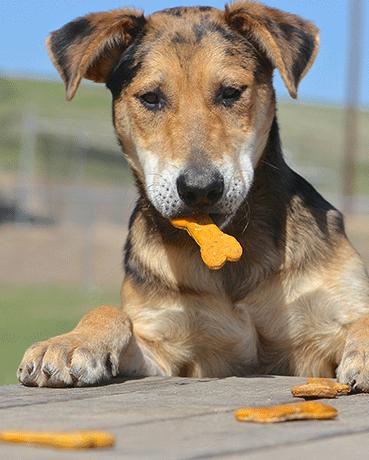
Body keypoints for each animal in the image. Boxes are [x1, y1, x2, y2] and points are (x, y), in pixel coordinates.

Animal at [18, 1, 368, 390]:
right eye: (150, 98)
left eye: (231, 92)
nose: (200, 189)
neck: (233, 254)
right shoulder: (165, 348)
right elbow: (108, 310)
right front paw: (67, 343)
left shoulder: (328, 322)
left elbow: (362, 321)